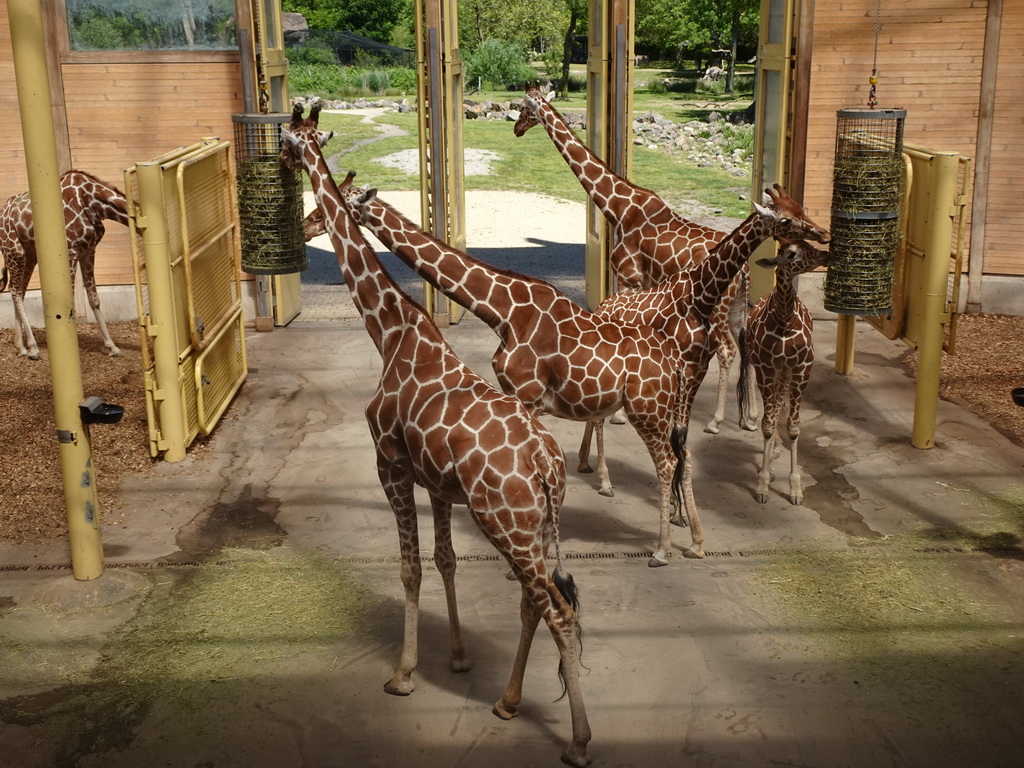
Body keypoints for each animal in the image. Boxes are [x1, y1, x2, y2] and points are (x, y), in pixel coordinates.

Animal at [0, 171, 128, 360]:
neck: (92, 202)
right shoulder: (71, 253)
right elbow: (71, 303)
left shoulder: (89, 252)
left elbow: (94, 299)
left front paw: (113, 347)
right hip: (14, 251)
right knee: (15, 290)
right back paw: (33, 348)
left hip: (29, 254)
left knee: (20, 291)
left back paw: (22, 347)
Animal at [278, 105, 593, 765]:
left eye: (293, 140)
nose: (308, 223)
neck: (393, 332)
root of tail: (547, 466)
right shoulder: (438, 484)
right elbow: (446, 562)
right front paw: (458, 657)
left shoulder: (389, 465)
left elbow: (410, 570)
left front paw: (403, 674)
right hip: (532, 525)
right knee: (535, 600)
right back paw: (507, 701)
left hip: (506, 523)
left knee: (557, 612)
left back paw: (578, 740)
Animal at [516, 82, 749, 438]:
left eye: (523, 108)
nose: (516, 129)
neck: (619, 207)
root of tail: (745, 270)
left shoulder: (629, 277)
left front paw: (620, 414)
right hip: (737, 307)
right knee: (746, 346)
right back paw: (750, 419)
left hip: (720, 310)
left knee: (726, 351)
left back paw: (715, 421)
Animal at [741, 237, 827, 507]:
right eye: (790, 254)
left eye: (809, 244)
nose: (825, 255)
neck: (784, 322)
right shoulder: (767, 368)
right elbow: (767, 424)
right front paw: (762, 485)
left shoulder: (801, 370)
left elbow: (794, 427)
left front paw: (796, 489)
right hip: (770, 373)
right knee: (773, 409)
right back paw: (770, 461)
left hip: (784, 374)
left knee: (779, 406)